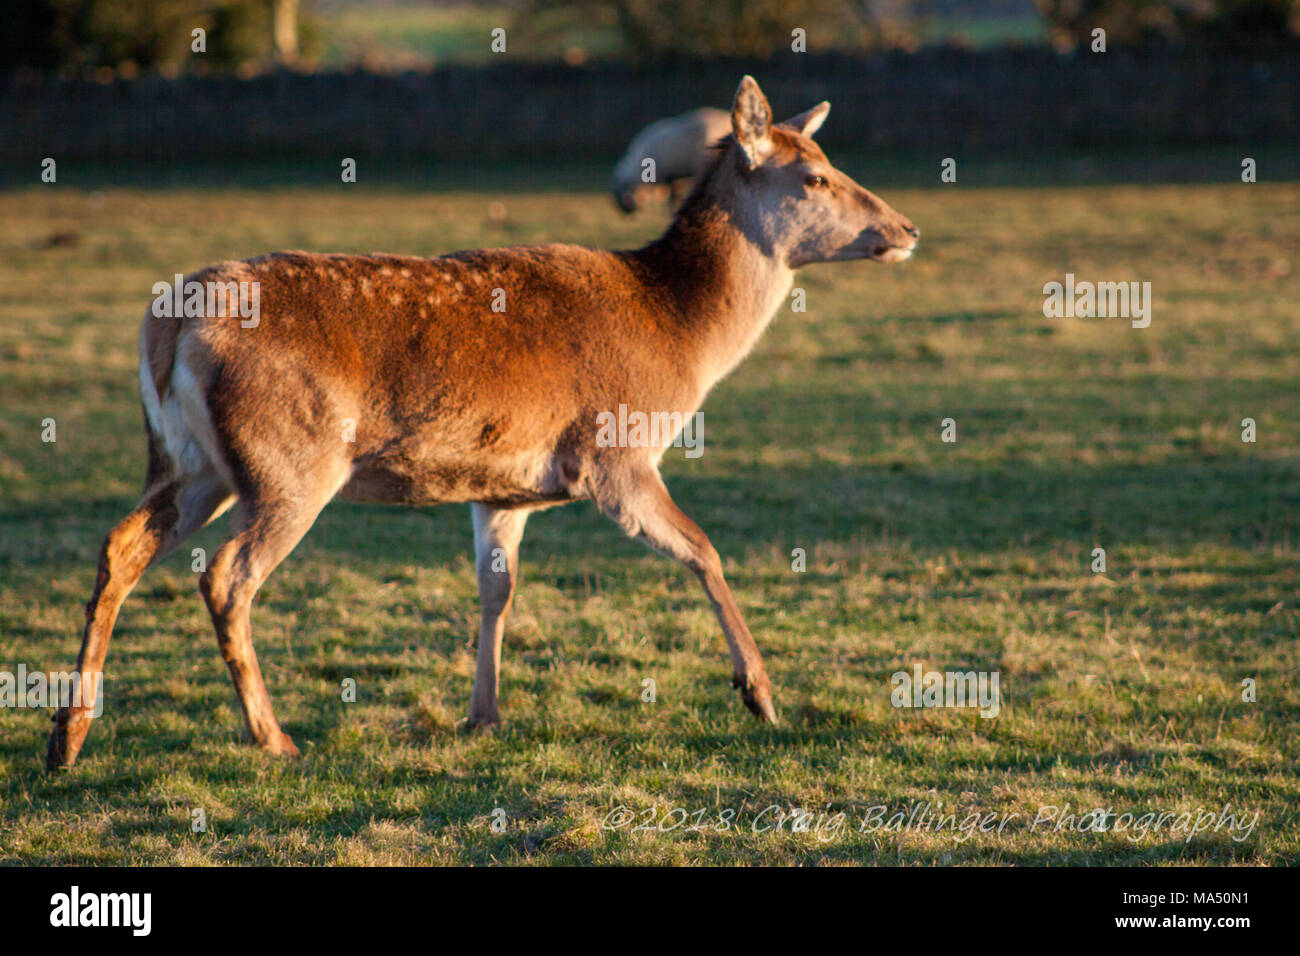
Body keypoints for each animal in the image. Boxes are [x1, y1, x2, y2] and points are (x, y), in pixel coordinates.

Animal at [46, 76, 919, 770]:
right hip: (290, 465)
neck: (681, 342)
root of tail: (167, 323)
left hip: (190, 463)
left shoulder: (502, 489)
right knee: (227, 575)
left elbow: (496, 588)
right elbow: (703, 550)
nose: (907, 229)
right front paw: (762, 696)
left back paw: (68, 736)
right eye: (814, 175)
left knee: (120, 547)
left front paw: (483, 714)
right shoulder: (615, 456)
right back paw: (274, 738)